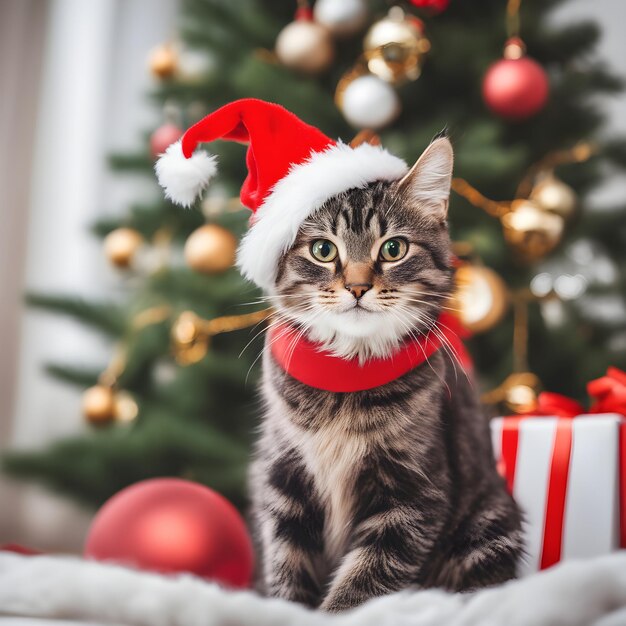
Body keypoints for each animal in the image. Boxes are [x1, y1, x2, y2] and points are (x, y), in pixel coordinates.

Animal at [249, 138, 520, 608]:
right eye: (323, 250)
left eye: (393, 249)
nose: (357, 287)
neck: (347, 379)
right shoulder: (282, 478)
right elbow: (286, 567)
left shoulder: (413, 495)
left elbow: (364, 583)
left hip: (490, 523)